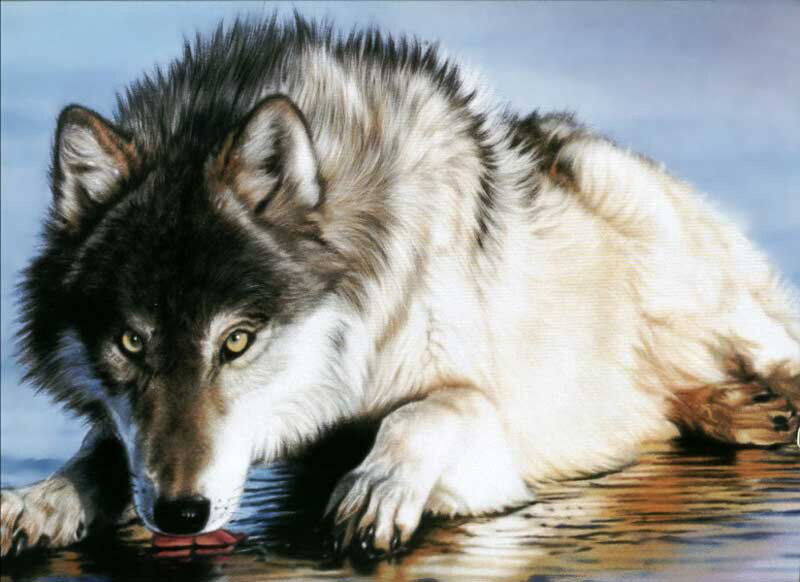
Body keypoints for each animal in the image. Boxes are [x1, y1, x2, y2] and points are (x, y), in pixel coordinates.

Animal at [2, 16, 798, 559]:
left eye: (237, 340)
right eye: (131, 342)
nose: (181, 515)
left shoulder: (484, 427)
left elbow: (428, 409)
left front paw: (376, 487)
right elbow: (106, 448)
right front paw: (43, 499)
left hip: (667, 251)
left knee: (771, 346)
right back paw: (729, 409)